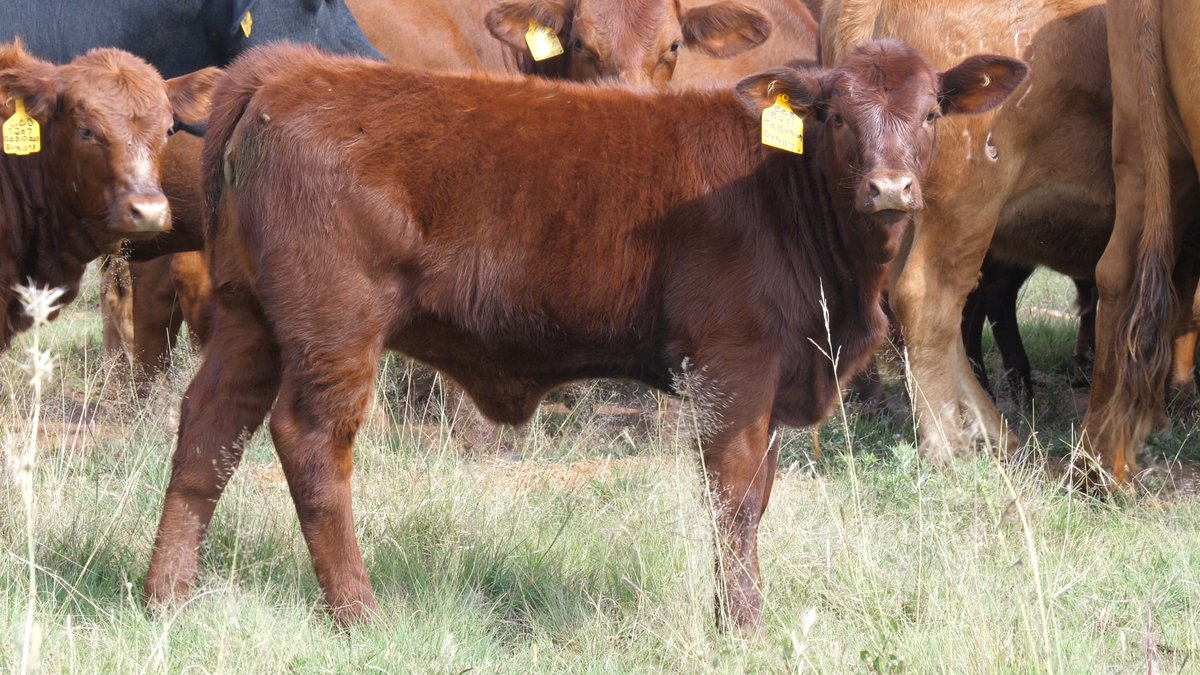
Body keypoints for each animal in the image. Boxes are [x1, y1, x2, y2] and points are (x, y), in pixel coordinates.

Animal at [140, 41, 1025, 627]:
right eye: (836, 115)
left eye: (933, 112)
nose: (890, 187)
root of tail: (287, 68)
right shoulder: (734, 365)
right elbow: (736, 499)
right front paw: (741, 624)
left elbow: (758, 495)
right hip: (334, 325)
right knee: (312, 441)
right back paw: (359, 611)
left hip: (249, 319)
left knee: (209, 429)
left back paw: (167, 596)